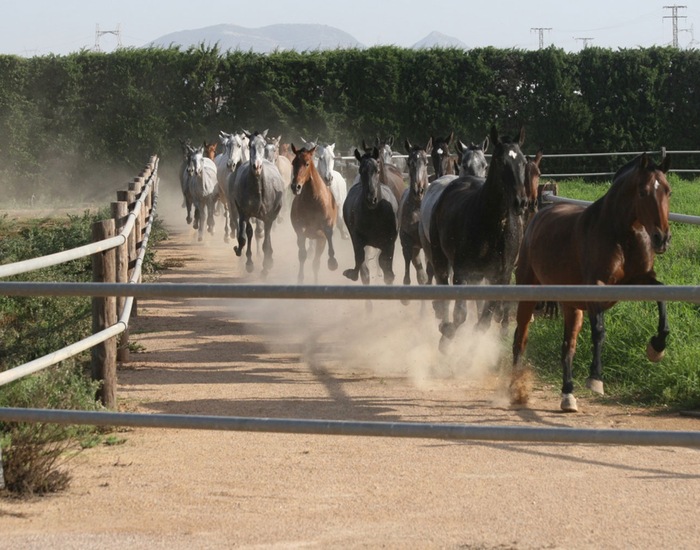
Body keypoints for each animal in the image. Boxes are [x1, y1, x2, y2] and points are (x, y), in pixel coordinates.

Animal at [229, 130, 285, 275]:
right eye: (250, 145)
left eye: (263, 145)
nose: (257, 167)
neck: (257, 188)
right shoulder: (244, 214)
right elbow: (244, 237)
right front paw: (246, 260)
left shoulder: (268, 217)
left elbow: (265, 241)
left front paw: (266, 266)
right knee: (250, 233)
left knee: (266, 234)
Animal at [289, 144, 339, 283]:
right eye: (293, 163)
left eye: (307, 163)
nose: (295, 186)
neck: (313, 199)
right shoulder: (300, 229)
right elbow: (302, 254)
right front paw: (300, 279)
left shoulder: (323, 233)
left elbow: (328, 234)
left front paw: (332, 261)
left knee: (316, 261)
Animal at [342, 147, 399, 287]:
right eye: (361, 171)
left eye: (377, 170)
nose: (371, 199)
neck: (375, 215)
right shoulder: (357, 239)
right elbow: (361, 262)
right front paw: (353, 273)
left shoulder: (390, 243)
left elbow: (386, 266)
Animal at [428, 126, 528, 351]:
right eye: (500, 161)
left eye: (524, 162)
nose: (521, 202)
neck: (492, 228)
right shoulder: (461, 272)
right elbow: (460, 314)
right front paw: (446, 337)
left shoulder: (500, 277)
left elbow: (483, 321)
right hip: (440, 259)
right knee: (443, 294)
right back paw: (443, 324)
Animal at [510, 153, 672, 413]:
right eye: (643, 192)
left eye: (668, 191)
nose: (662, 238)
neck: (620, 235)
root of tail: (539, 214)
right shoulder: (596, 287)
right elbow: (599, 332)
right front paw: (595, 378)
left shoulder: (639, 280)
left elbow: (662, 297)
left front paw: (656, 347)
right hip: (529, 295)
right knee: (520, 339)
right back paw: (515, 387)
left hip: (572, 308)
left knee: (567, 347)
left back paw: (568, 395)